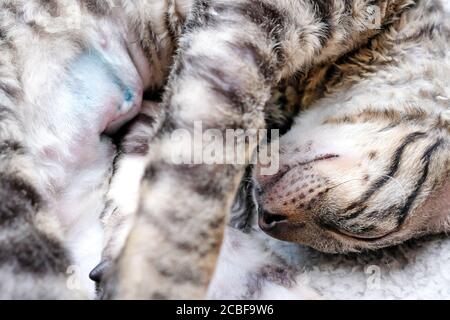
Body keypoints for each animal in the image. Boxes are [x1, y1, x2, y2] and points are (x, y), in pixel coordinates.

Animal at [0, 0, 448, 300]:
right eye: (367, 234)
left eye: (356, 239)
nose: (266, 220)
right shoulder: (240, 33)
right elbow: (197, 190)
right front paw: (156, 278)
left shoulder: (157, 105)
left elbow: (150, 179)